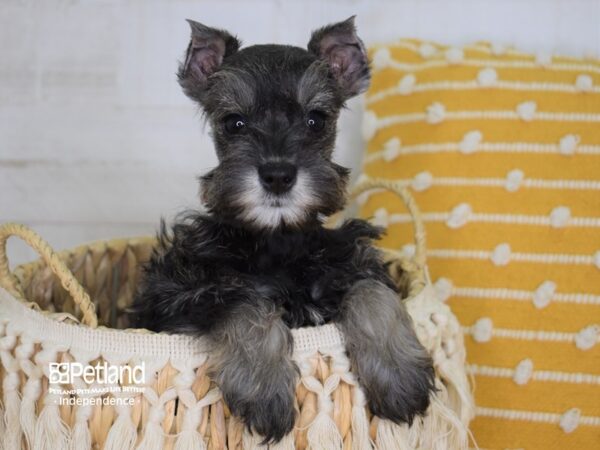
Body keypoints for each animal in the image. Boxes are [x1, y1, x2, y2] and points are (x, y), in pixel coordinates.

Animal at [131, 16, 434, 442]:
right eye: (234, 122)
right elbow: (244, 301)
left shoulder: (352, 263)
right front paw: (263, 387)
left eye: (316, 119)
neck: (277, 241)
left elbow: (373, 292)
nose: (277, 175)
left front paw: (398, 373)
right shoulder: (178, 295)